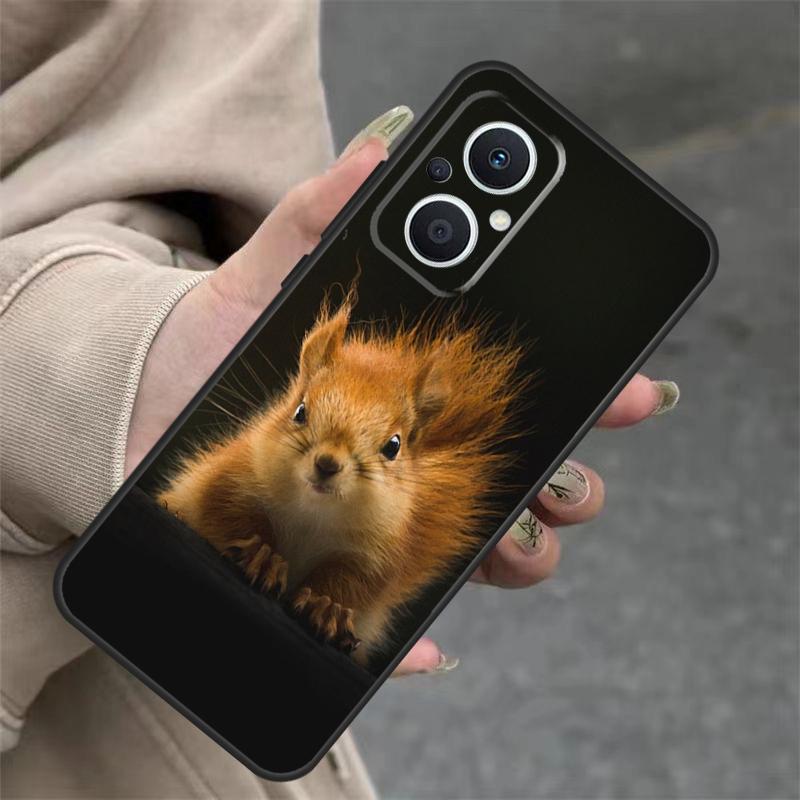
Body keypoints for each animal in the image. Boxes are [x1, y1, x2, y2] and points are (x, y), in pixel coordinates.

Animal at [157, 294, 528, 665]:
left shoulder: (376, 556)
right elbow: (224, 514)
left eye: (393, 446)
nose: (327, 464)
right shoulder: (230, 478)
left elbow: (355, 583)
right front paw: (262, 555)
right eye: (300, 411)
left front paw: (328, 606)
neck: (313, 514)